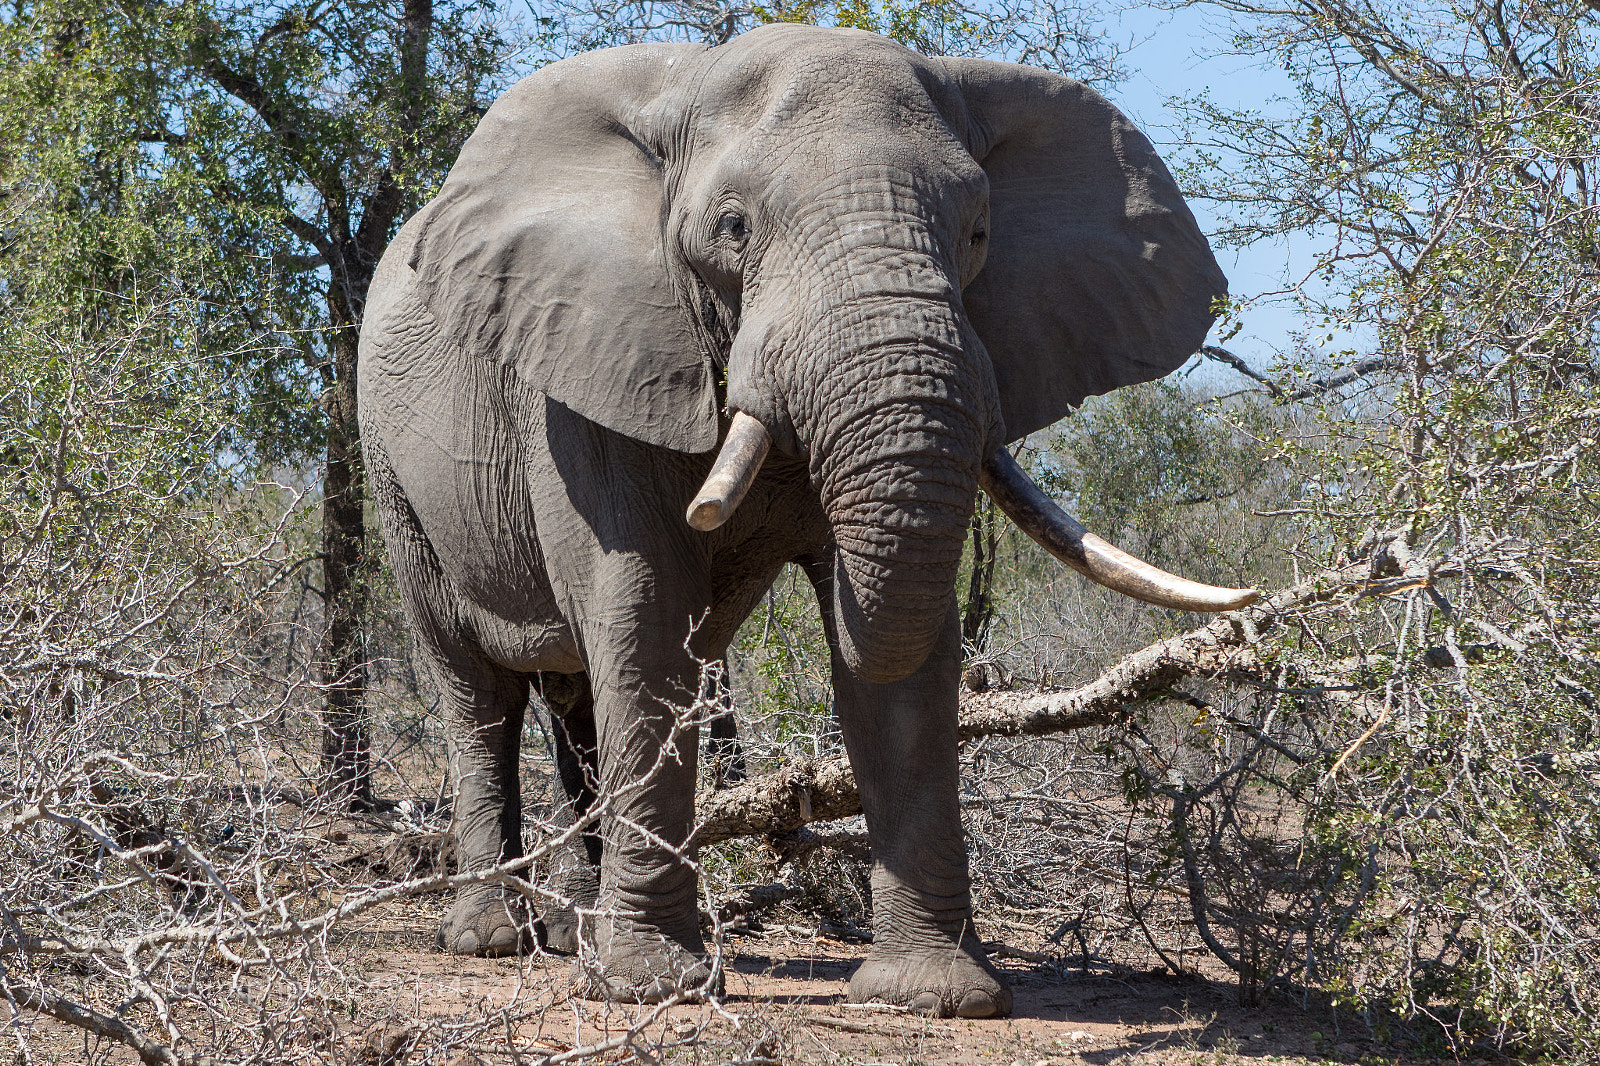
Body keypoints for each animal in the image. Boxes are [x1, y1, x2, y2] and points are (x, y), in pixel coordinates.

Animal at [356, 22, 1254, 1018]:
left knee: (577, 697)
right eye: (734, 228)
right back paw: (494, 939)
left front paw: (934, 997)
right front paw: (652, 988)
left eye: (978, 232)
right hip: (393, 470)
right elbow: (643, 612)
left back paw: (568, 935)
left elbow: (901, 653)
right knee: (478, 690)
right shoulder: (586, 363)